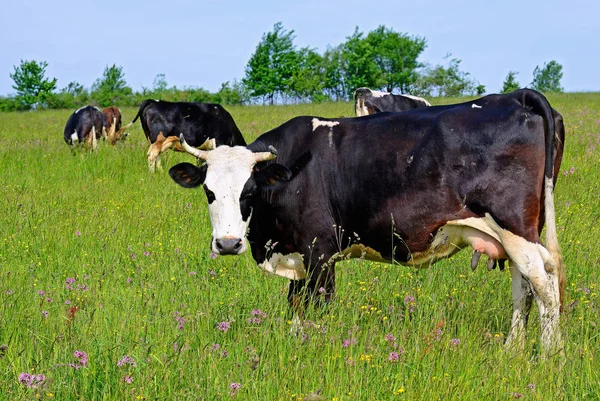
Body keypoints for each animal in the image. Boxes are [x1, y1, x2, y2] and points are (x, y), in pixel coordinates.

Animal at [168, 89, 564, 352]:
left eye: (248, 192)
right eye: (208, 191)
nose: (227, 244)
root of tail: (517, 96)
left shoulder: (320, 251)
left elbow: (316, 307)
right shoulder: (298, 255)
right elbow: (295, 306)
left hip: (515, 226)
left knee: (545, 286)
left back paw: (550, 356)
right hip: (517, 233)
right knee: (524, 287)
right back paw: (513, 349)